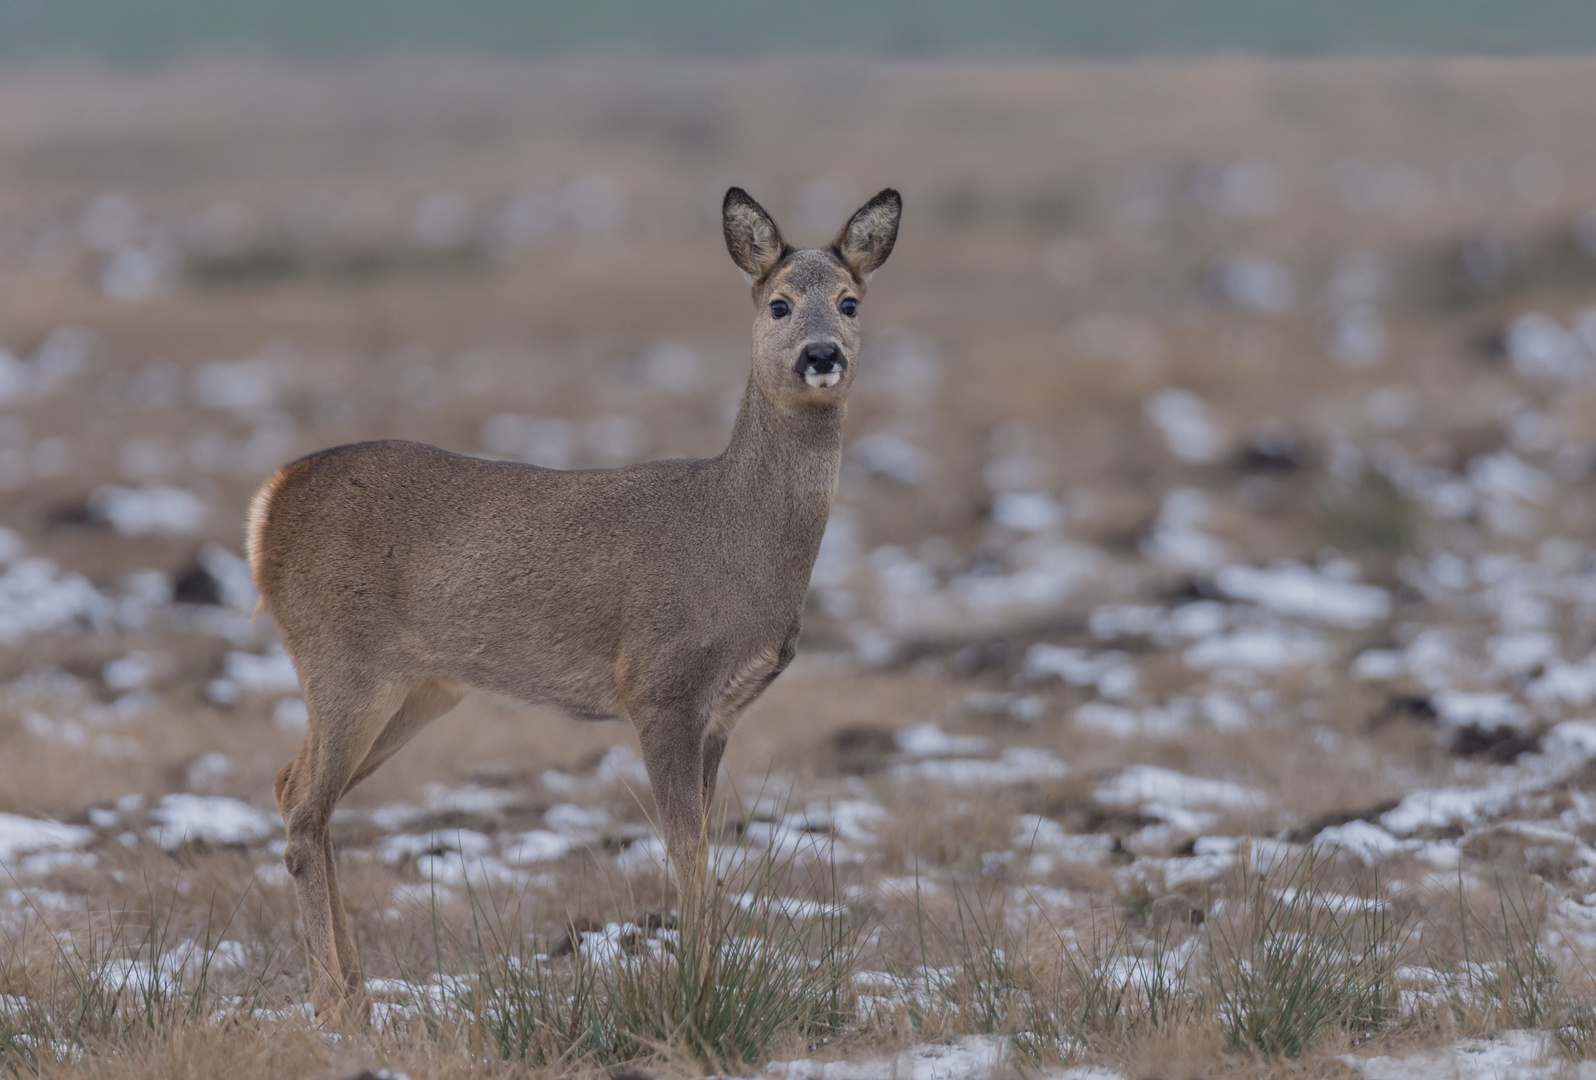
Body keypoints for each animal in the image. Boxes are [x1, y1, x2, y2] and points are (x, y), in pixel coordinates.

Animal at [247, 185, 900, 1020]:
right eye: (780, 304)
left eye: (850, 301)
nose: (823, 355)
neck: (735, 540)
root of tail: (269, 504)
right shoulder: (659, 684)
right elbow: (686, 848)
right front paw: (697, 994)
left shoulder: (721, 712)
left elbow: (705, 841)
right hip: (343, 659)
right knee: (304, 809)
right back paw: (332, 1002)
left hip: (418, 688)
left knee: (296, 789)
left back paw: (356, 991)